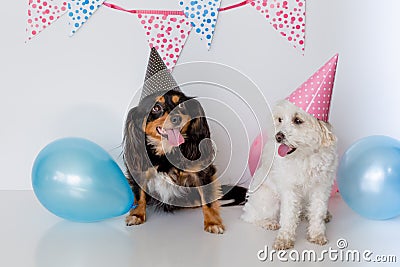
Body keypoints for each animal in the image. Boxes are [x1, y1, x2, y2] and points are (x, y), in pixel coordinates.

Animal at [122, 48, 225, 234]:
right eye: (156, 108)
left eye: (181, 105)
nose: (176, 118)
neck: (167, 151)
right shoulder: (139, 171)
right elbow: (139, 195)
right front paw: (137, 215)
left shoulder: (202, 172)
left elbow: (207, 199)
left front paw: (212, 222)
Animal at [241, 100, 338, 251]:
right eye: (280, 119)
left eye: (297, 120)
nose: (278, 137)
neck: (305, 156)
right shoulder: (289, 189)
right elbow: (288, 216)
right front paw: (284, 238)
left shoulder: (321, 187)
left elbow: (318, 211)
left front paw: (317, 234)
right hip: (268, 199)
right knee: (251, 216)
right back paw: (268, 222)